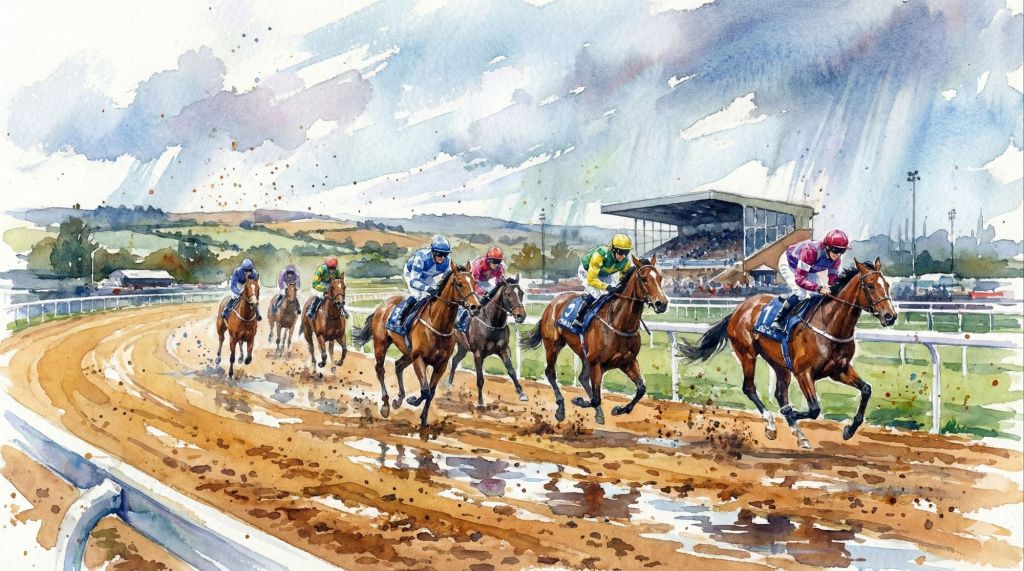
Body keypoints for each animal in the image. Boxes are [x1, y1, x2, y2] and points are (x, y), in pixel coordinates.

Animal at [352, 264, 480, 427]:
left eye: (474, 283)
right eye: (459, 283)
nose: (476, 306)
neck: (438, 325)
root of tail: (382, 306)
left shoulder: (441, 364)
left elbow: (430, 392)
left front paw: (424, 419)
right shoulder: (419, 359)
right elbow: (425, 391)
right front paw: (413, 400)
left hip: (408, 353)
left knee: (398, 365)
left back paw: (398, 400)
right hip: (381, 344)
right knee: (380, 370)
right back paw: (386, 406)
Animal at [444, 275, 529, 407]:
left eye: (521, 293)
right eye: (508, 294)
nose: (521, 316)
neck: (492, 323)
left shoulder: (503, 350)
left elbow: (511, 371)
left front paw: (521, 393)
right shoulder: (478, 353)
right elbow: (480, 379)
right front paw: (480, 401)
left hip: (463, 347)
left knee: (455, 360)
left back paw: (449, 384)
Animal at [519, 256, 668, 424]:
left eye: (660, 278)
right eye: (644, 279)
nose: (662, 304)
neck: (618, 322)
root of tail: (552, 303)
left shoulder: (628, 361)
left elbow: (641, 389)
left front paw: (620, 409)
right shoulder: (597, 364)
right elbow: (596, 398)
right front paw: (579, 401)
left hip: (583, 353)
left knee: (583, 378)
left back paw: (598, 413)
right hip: (553, 345)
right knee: (550, 372)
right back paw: (561, 408)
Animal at [678, 258, 897, 449]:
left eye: (886, 284)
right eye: (870, 285)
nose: (890, 316)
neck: (830, 324)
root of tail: (739, 308)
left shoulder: (839, 370)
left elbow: (866, 389)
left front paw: (849, 430)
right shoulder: (803, 373)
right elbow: (814, 409)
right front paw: (789, 413)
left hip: (780, 363)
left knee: (780, 393)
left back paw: (800, 436)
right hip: (747, 353)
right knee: (749, 388)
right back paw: (771, 423)